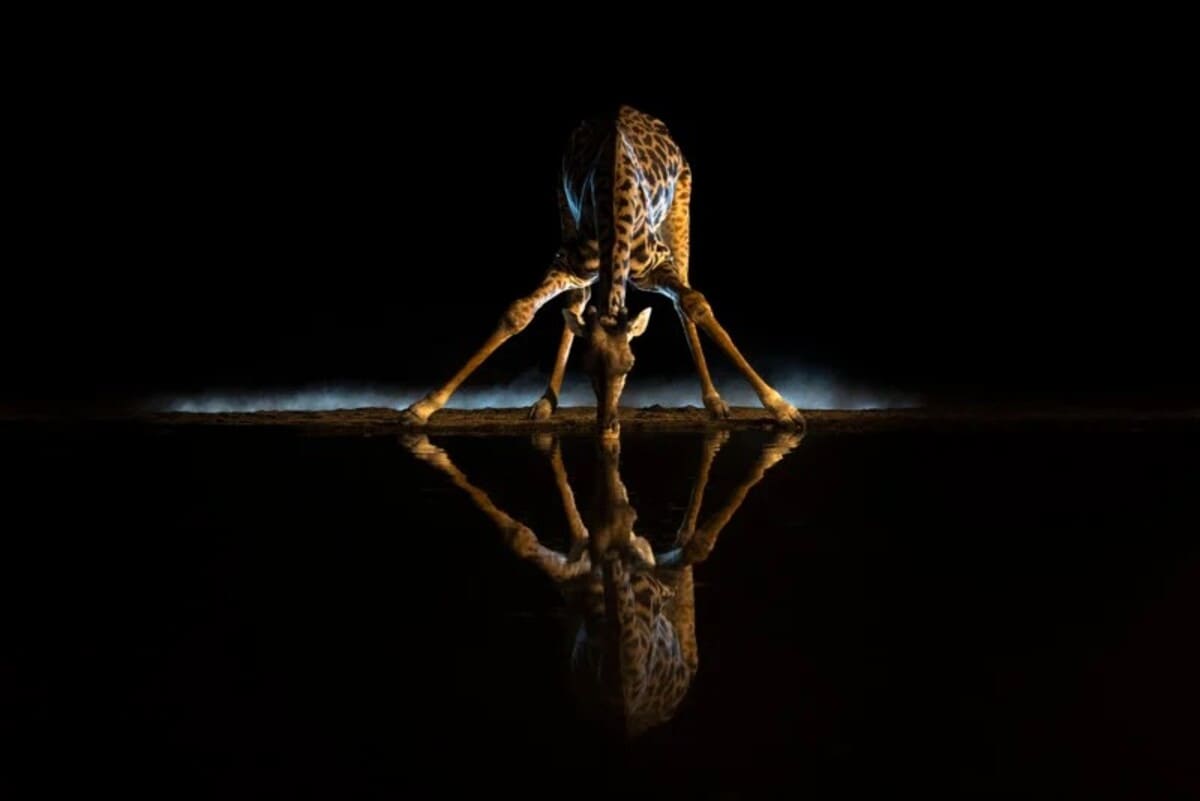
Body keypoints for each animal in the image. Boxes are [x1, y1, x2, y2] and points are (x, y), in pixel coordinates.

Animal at [401, 105, 806, 436]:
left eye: (630, 366)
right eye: (586, 367)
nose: (608, 426)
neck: (613, 200)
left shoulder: (657, 263)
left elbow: (694, 304)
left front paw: (783, 408)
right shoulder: (569, 262)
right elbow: (519, 312)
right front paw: (422, 407)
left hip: (680, 212)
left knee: (683, 298)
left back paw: (716, 401)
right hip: (564, 213)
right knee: (577, 302)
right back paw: (545, 402)